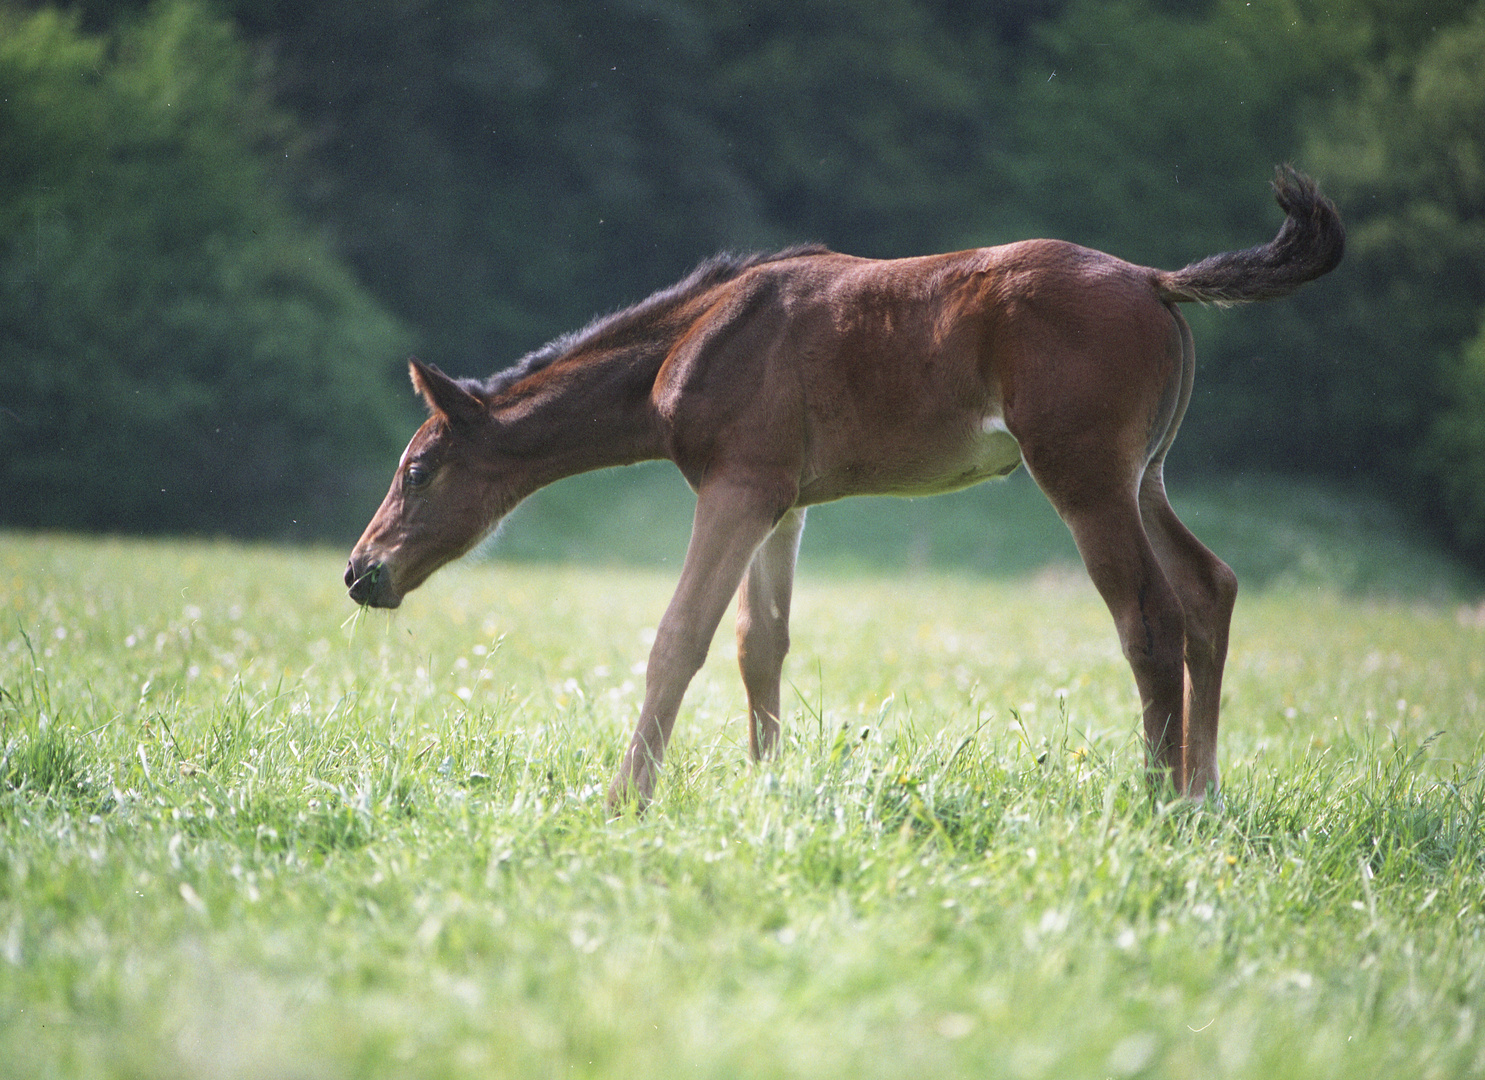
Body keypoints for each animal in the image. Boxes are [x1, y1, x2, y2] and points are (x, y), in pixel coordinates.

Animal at [347, 167, 1348, 808]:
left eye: (417, 469)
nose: (362, 573)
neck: (692, 341)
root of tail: (1153, 281)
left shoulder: (736, 487)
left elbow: (679, 637)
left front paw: (625, 796)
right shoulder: (779, 502)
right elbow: (759, 643)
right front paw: (765, 788)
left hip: (1086, 475)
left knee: (1148, 616)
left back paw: (1158, 801)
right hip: (1146, 473)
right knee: (1209, 588)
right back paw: (1204, 791)